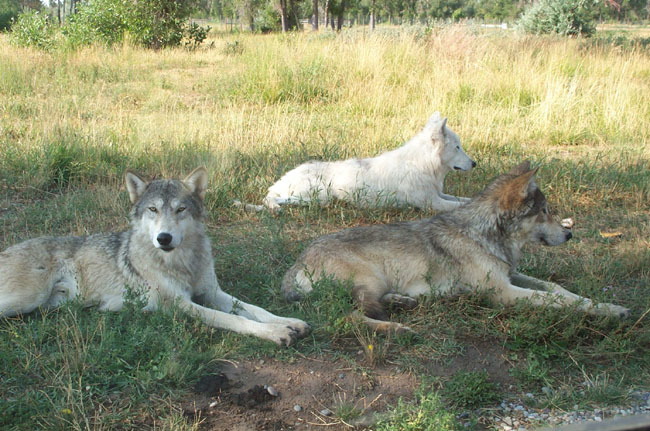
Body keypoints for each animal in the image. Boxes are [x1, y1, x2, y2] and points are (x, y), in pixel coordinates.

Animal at [0, 167, 310, 346]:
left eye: (180, 209)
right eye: (153, 210)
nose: (164, 238)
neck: (183, 263)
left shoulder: (213, 292)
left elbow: (255, 310)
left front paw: (289, 322)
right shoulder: (182, 306)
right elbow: (236, 320)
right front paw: (276, 333)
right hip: (27, 299)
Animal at [238, 112, 475, 213]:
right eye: (457, 147)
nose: (474, 164)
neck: (421, 165)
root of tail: (279, 181)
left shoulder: (439, 194)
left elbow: (465, 199)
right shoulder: (432, 203)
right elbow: (458, 205)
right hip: (319, 195)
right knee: (272, 200)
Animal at [282, 161, 629, 332]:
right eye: (545, 211)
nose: (569, 235)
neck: (482, 233)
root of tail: (296, 263)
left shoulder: (510, 276)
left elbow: (558, 289)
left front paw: (604, 305)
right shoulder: (503, 292)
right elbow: (556, 301)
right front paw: (611, 311)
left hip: (376, 285)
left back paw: (403, 302)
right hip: (371, 280)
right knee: (348, 318)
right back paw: (397, 327)